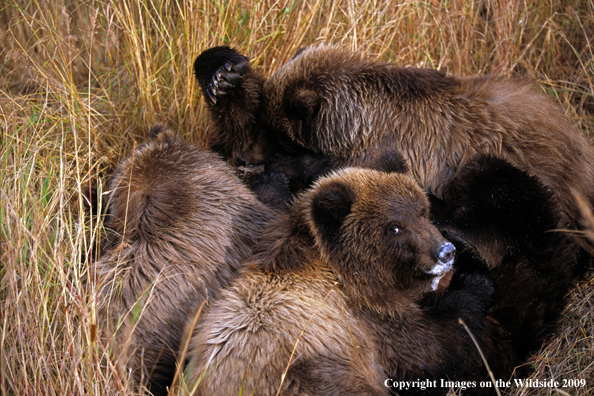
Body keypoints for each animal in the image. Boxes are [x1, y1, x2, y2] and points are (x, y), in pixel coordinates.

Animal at [180, 167, 504, 396]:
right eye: (394, 227)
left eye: (422, 211)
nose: (445, 251)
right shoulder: (365, 324)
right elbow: (430, 349)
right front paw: (477, 281)